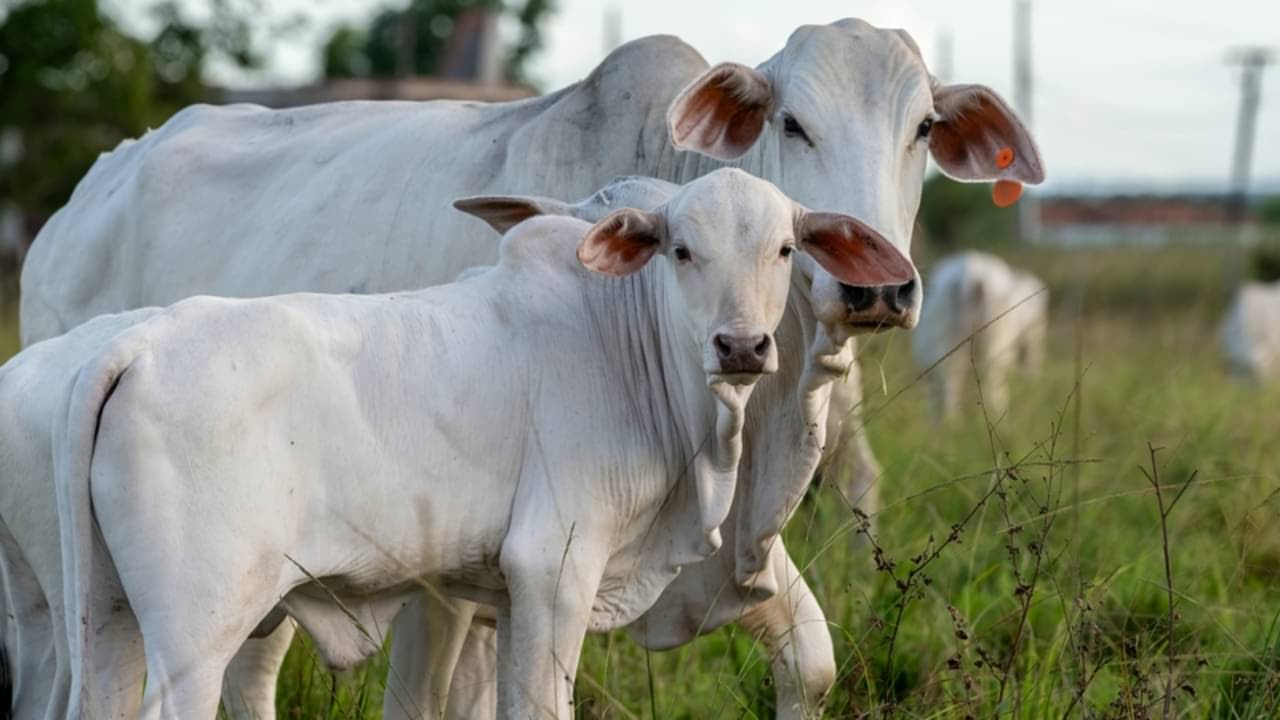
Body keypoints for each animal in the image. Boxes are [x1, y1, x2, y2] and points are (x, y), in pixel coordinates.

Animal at [51, 170, 914, 718]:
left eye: (783, 250)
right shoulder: (552, 570)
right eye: (681, 250)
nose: (741, 346)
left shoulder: (483, 595)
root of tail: (133, 347)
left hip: (107, 620)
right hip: (197, 634)